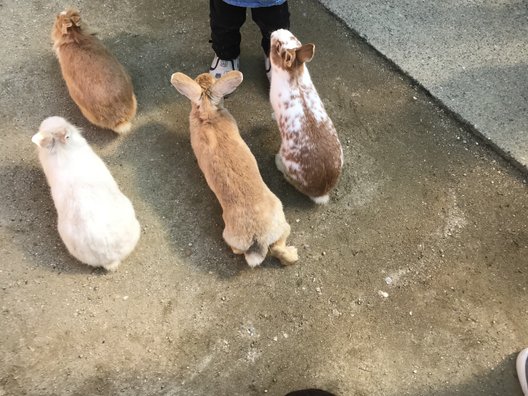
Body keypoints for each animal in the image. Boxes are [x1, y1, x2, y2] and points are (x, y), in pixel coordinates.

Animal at [171, 71, 300, 270]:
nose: (205, 74)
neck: (207, 112)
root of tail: (255, 237)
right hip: (281, 221)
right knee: (279, 246)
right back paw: (293, 254)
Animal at [268, 27, 342, 204]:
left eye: (277, 46)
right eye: (295, 38)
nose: (276, 31)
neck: (294, 75)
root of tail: (321, 191)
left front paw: (273, 116)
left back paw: (277, 162)